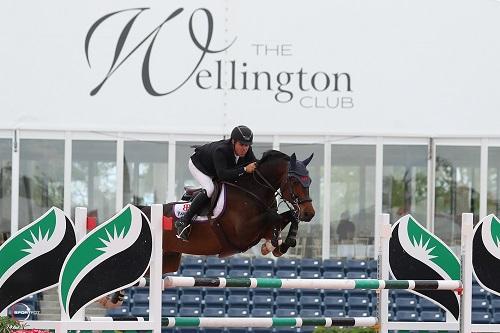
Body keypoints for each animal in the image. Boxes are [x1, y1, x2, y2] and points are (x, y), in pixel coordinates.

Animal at [138, 149, 316, 274]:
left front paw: (281, 244)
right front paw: (272, 245)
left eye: (310, 181)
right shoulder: (243, 232)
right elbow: (274, 217)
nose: (309, 213)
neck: (251, 190)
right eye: (294, 181)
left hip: (168, 259)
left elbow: (289, 217)